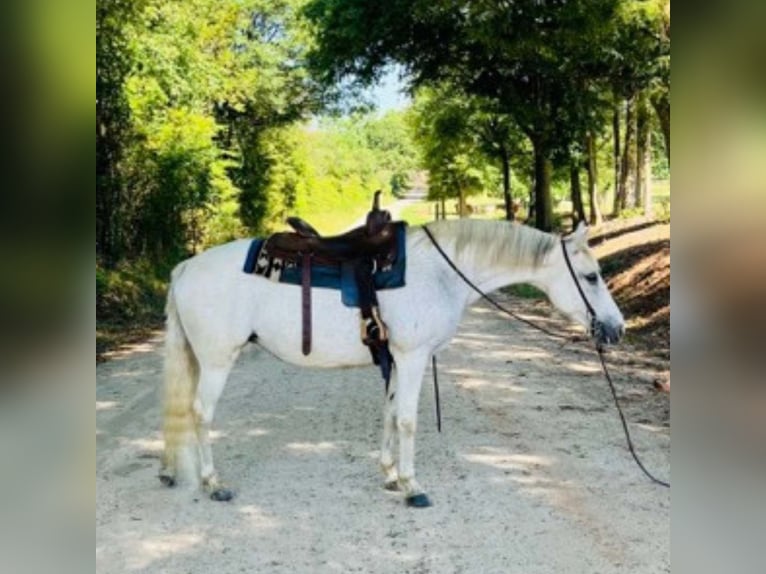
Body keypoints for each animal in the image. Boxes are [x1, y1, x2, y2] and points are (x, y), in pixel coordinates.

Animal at [160, 218, 624, 506]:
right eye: (591, 277)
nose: (617, 329)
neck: (441, 274)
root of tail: (185, 267)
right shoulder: (414, 356)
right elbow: (407, 420)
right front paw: (412, 486)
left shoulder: (397, 357)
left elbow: (388, 411)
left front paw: (389, 474)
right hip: (217, 360)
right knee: (200, 414)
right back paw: (212, 483)